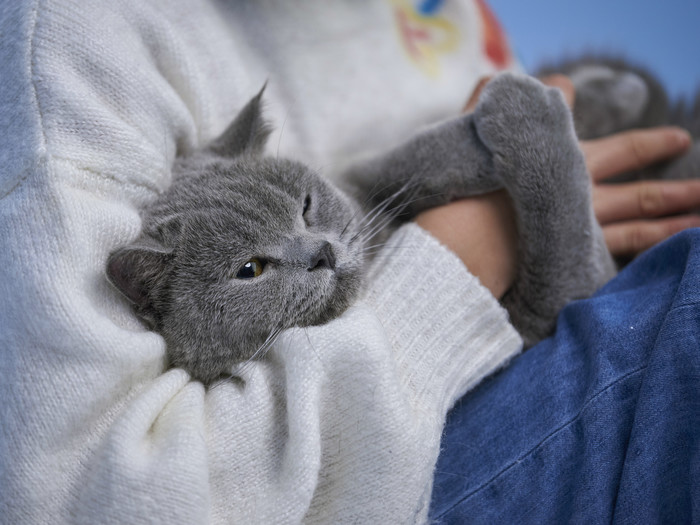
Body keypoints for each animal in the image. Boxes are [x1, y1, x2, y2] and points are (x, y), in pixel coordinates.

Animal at [106, 73, 616, 382]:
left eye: (306, 206)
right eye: (250, 269)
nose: (322, 252)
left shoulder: (361, 176)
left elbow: (408, 159)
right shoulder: (542, 311)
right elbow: (563, 233)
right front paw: (527, 108)